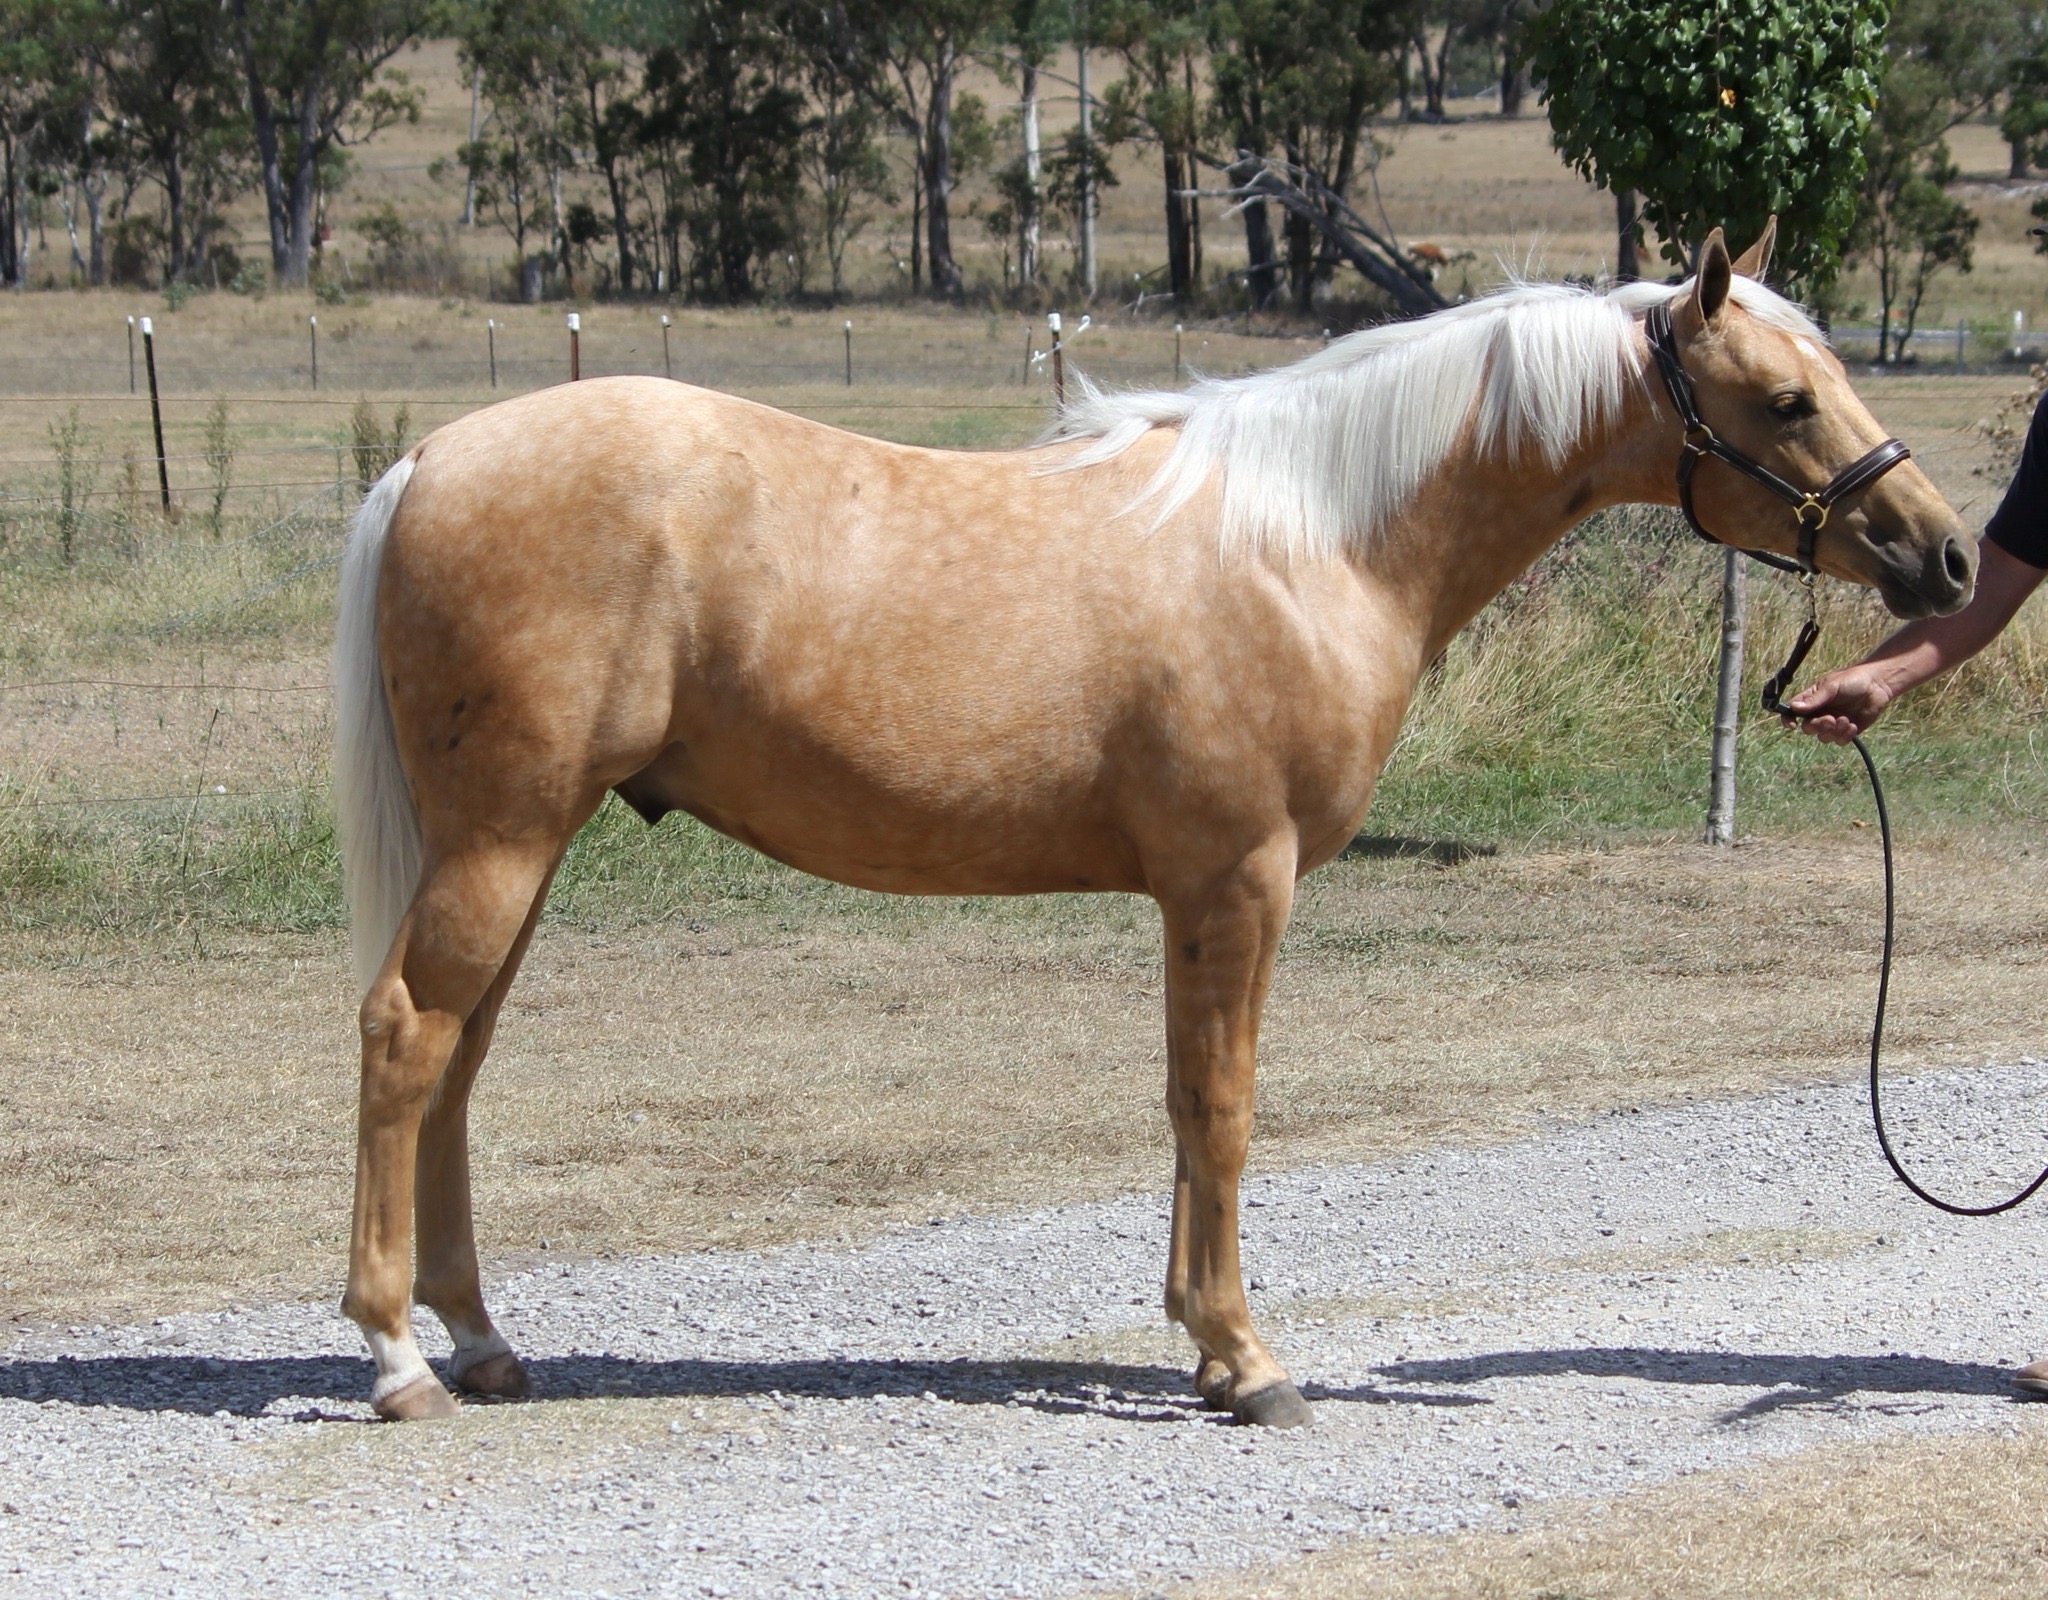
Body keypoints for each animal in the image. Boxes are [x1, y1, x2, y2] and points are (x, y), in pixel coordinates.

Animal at [331, 224, 1972, 1426]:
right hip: (504, 839)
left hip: (524, 845)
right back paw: (400, 1361)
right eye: (1784, 400)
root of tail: (428, 460)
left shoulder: (1197, 895)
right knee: (410, 1036)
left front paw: (1198, 1335)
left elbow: (1186, 1106)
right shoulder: (1240, 882)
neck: (1312, 541)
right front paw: (1248, 1364)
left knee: (460, 1060)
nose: (1945, 557)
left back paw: (480, 1341)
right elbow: (1225, 1108)